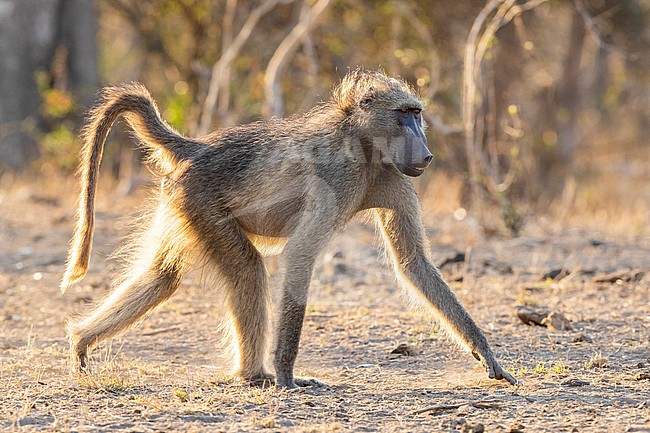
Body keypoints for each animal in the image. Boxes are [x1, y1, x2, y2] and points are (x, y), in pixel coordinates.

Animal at [61, 69, 517, 388]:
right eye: (405, 114)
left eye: (417, 114)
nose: (426, 154)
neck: (364, 144)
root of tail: (199, 147)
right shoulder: (337, 177)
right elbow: (300, 254)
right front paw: (285, 374)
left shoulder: (396, 179)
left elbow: (414, 264)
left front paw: (488, 355)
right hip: (202, 204)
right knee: (247, 270)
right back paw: (257, 376)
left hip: (183, 205)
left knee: (163, 276)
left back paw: (81, 341)